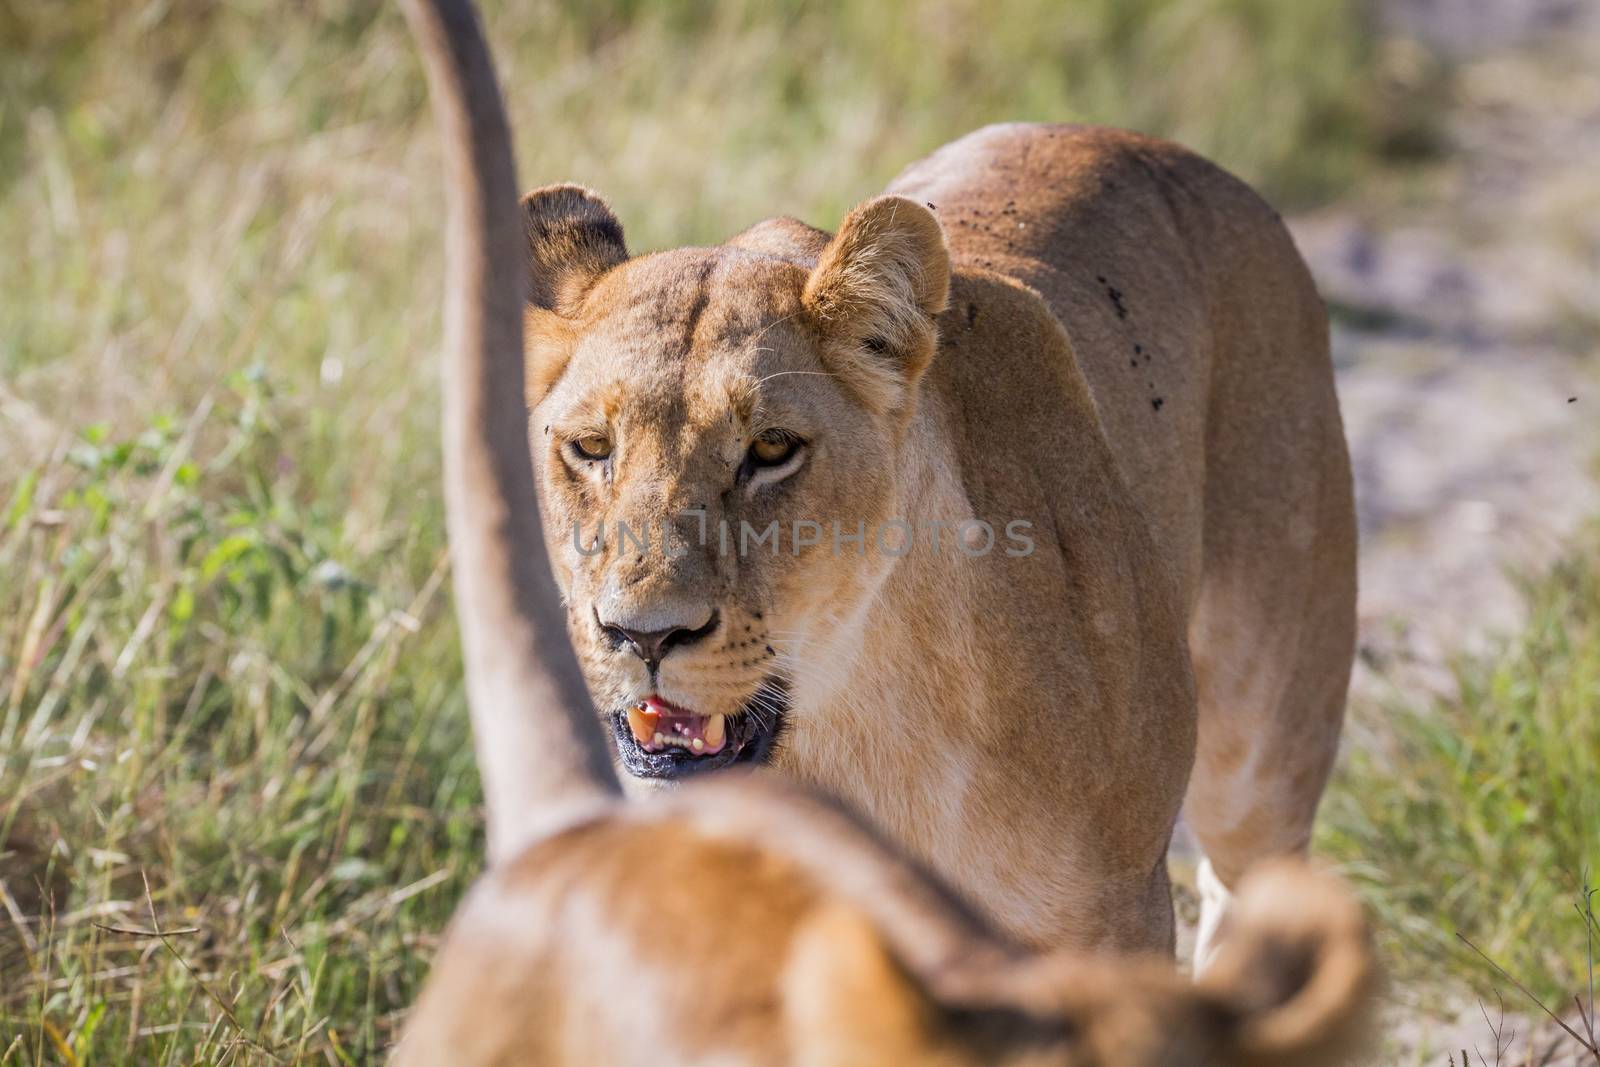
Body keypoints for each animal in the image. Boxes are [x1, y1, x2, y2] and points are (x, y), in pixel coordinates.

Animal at [390, 0, 1376, 1062]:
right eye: (589, 448)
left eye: (772, 448)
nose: (641, 635)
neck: (856, 712)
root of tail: (1171, 151)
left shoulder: (1118, 920)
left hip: (1265, 755)